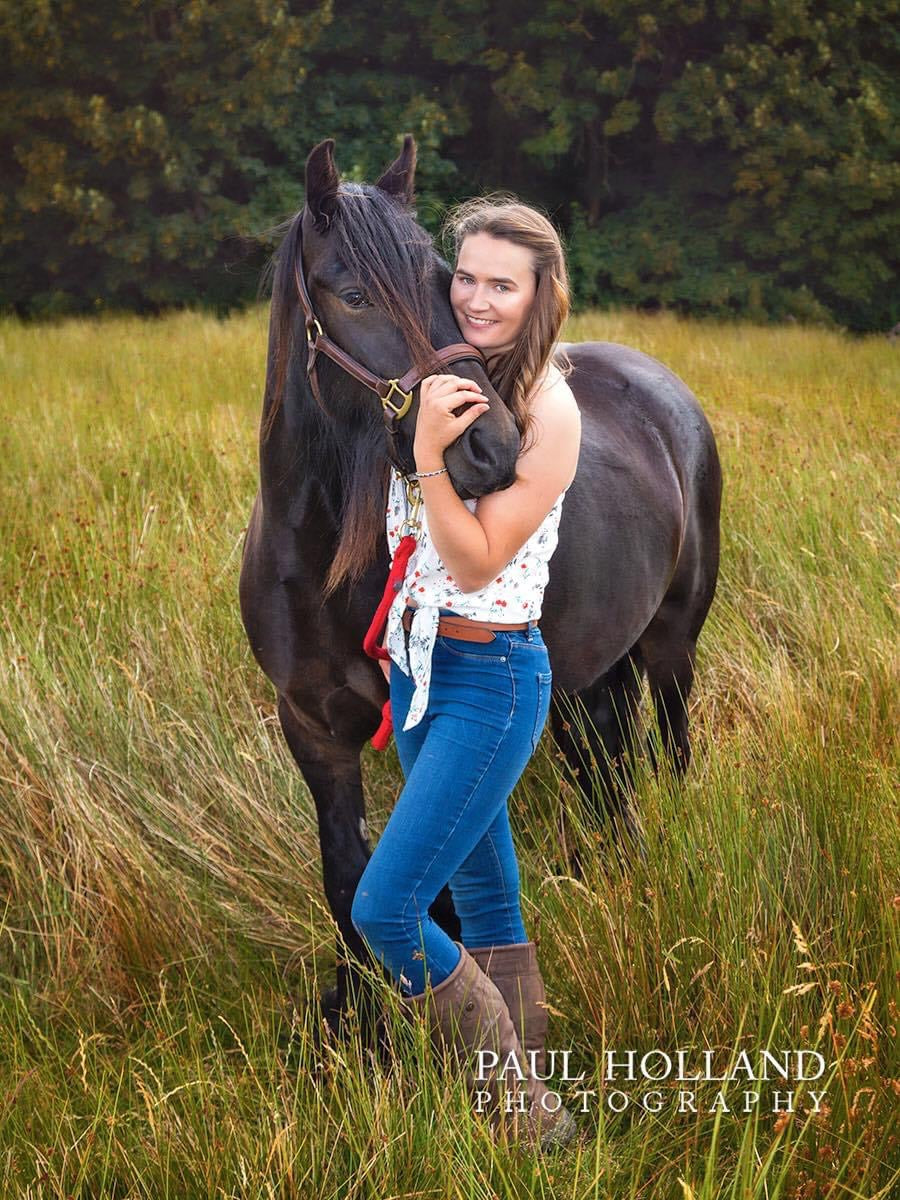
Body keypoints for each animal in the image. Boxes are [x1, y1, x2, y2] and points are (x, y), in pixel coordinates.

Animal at [240, 136, 724, 1041]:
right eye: (353, 294)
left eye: (446, 282)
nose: (492, 449)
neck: (321, 557)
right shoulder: (311, 727)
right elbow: (346, 877)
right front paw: (349, 1022)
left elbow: (431, 896)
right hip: (586, 681)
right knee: (604, 773)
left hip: (673, 644)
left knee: (670, 750)